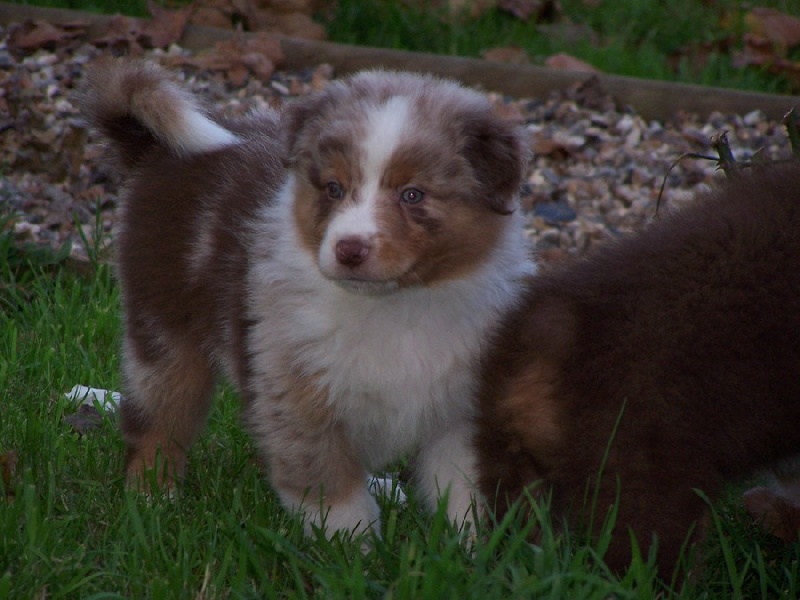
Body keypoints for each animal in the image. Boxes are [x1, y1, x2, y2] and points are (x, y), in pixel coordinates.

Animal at [82, 58, 534, 538]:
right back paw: (152, 500)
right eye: (333, 188)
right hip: (163, 330)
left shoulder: (461, 413)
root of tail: (155, 151)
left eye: (413, 195)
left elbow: (462, 492)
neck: (394, 305)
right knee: (157, 419)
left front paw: (470, 548)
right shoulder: (298, 393)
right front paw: (353, 551)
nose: (349, 249)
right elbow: (334, 495)